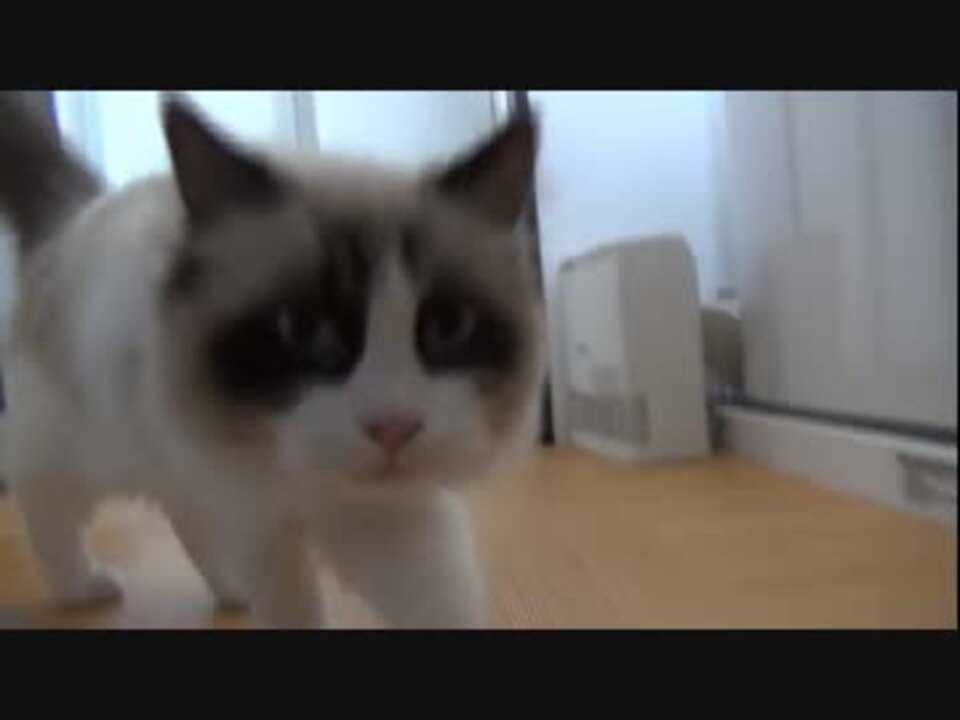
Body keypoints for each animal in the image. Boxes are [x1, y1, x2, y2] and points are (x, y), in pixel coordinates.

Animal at [0, 92, 545, 628]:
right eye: (303, 329)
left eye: (447, 326)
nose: (393, 428)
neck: (321, 495)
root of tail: (80, 211)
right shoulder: (261, 521)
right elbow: (292, 608)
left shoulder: (397, 521)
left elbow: (438, 603)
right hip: (92, 451)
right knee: (42, 500)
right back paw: (81, 589)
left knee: (187, 518)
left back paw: (232, 593)